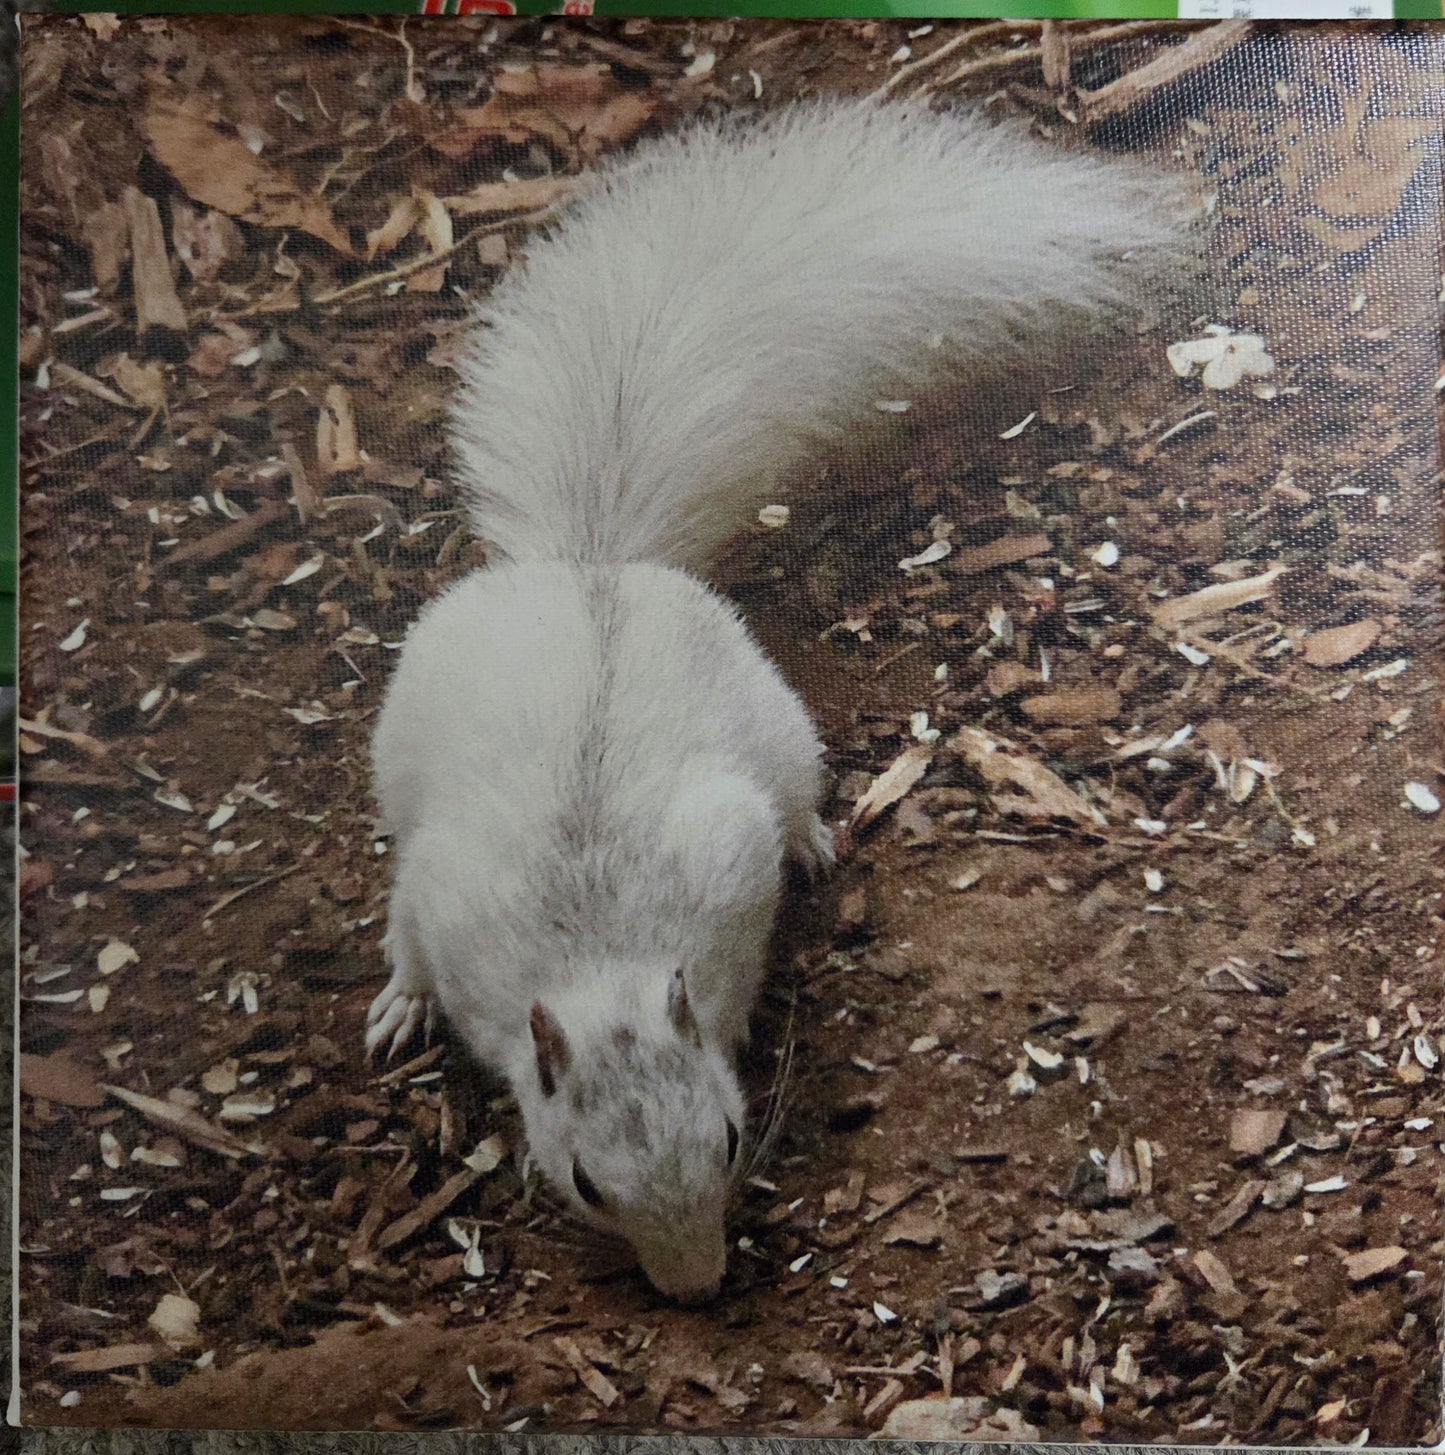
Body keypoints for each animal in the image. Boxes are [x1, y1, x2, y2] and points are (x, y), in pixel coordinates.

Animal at [365, 98, 1193, 1303]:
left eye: (725, 1138)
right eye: (585, 1185)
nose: (697, 1288)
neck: (600, 966)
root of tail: (593, 568)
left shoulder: (720, 870)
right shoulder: (446, 894)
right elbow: (410, 938)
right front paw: (403, 1003)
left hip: (778, 721)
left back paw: (810, 836)